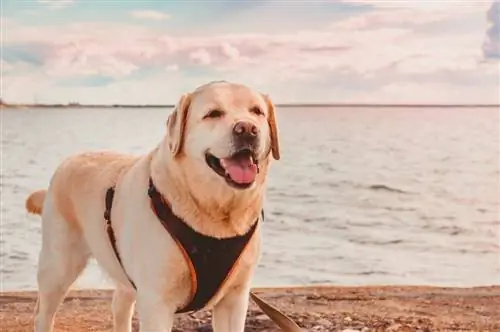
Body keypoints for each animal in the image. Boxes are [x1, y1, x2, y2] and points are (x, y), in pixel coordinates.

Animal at [24, 81, 278, 332]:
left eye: (257, 112)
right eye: (213, 113)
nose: (247, 129)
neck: (216, 213)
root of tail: (66, 163)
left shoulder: (235, 298)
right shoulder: (157, 303)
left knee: (119, 304)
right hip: (58, 265)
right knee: (43, 312)